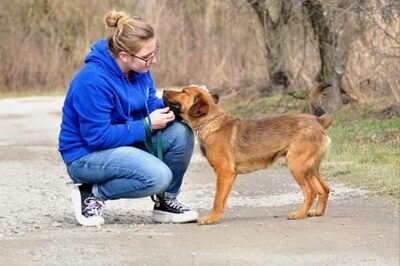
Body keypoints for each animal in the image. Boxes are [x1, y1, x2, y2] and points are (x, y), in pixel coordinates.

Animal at [162, 83, 332, 224]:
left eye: (183, 91)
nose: (163, 91)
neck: (210, 121)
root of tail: (318, 120)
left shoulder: (225, 173)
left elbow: (217, 199)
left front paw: (211, 218)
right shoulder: (228, 176)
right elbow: (222, 199)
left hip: (296, 165)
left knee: (310, 192)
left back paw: (299, 214)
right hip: (309, 168)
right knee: (324, 188)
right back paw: (317, 212)